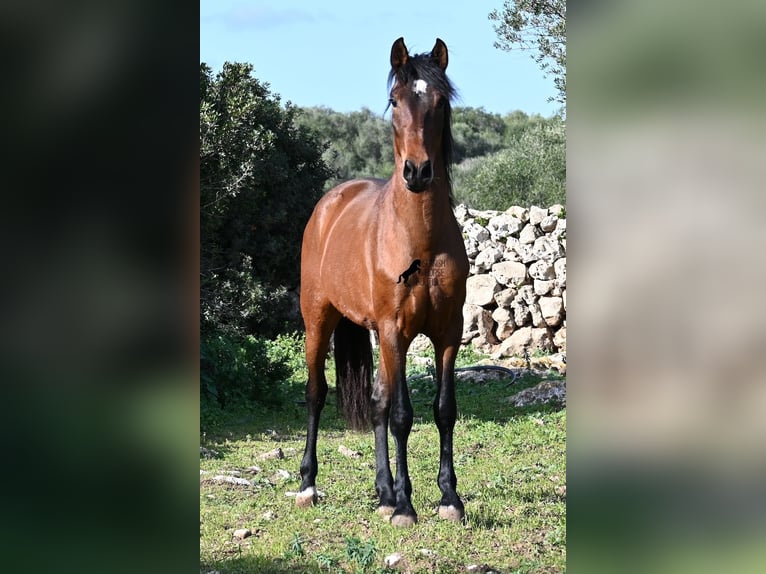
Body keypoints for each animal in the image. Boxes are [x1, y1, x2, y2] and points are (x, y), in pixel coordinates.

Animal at [298, 38, 468, 528]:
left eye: (440, 101)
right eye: (395, 101)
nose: (418, 172)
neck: (421, 241)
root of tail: (330, 204)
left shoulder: (448, 334)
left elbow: (442, 410)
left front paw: (448, 498)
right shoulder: (395, 332)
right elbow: (402, 416)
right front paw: (408, 507)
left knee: (375, 401)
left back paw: (384, 492)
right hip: (318, 318)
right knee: (316, 394)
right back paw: (307, 484)